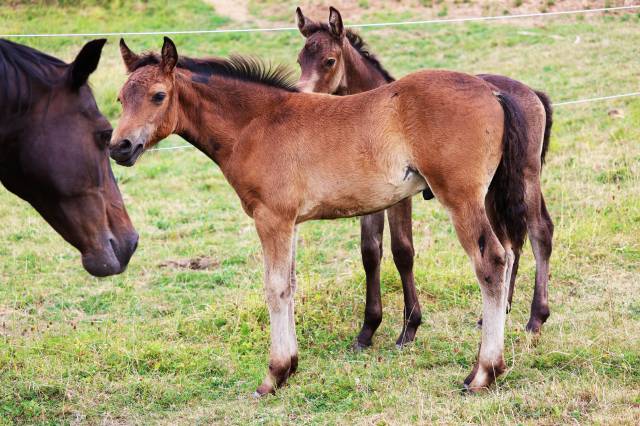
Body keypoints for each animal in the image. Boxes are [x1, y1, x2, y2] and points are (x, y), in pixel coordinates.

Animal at [110, 37, 529, 394]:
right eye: (120, 98)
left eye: (158, 96)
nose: (120, 147)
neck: (257, 124)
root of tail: (491, 91)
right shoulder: (289, 222)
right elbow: (291, 284)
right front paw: (290, 367)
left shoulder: (272, 218)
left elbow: (275, 288)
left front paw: (274, 375)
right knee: (508, 253)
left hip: (461, 198)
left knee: (492, 262)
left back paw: (483, 373)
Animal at [295, 7, 554, 339]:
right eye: (300, 60)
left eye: (329, 60)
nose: (301, 97)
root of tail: (528, 92)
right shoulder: (372, 197)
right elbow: (370, 252)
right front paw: (367, 330)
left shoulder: (399, 197)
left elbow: (402, 251)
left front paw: (409, 328)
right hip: (491, 189)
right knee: (509, 242)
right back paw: (497, 314)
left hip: (524, 176)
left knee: (538, 232)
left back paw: (536, 318)